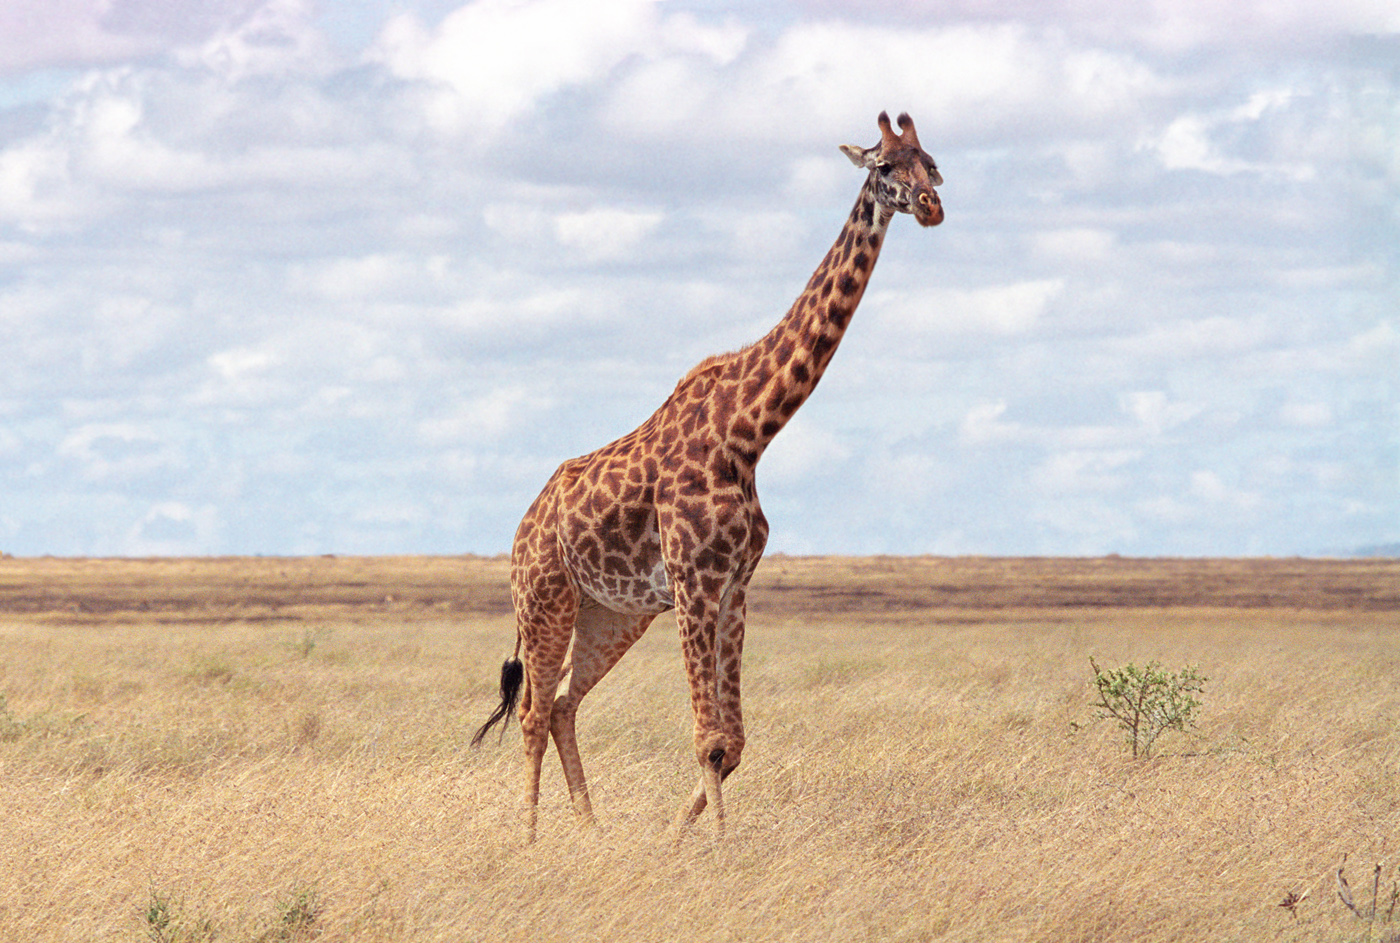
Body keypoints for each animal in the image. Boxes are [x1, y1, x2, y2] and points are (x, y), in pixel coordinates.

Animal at [476, 110, 946, 839]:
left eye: (935, 166)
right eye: (885, 167)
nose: (930, 207)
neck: (747, 432)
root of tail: (524, 525)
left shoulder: (733, 588)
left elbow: (735, 742)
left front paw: (677, 839)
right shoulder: (695, 582)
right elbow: (709, 737)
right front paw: (717, 847)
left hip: (611, 612)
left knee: (560, 705)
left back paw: (591, 830)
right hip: (544, 598)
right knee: (530, 711)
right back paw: (528, 839)